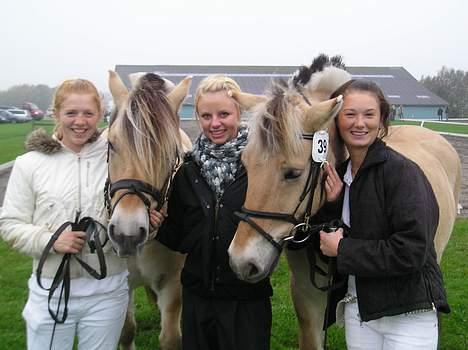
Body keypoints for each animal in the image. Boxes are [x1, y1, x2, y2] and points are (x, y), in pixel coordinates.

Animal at [106, 69, 192, 348]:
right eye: (111, 145)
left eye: (171, 153)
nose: (127, 234)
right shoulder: (120, 284)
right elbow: (126, 331)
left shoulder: (173, 283)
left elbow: (171, 338)